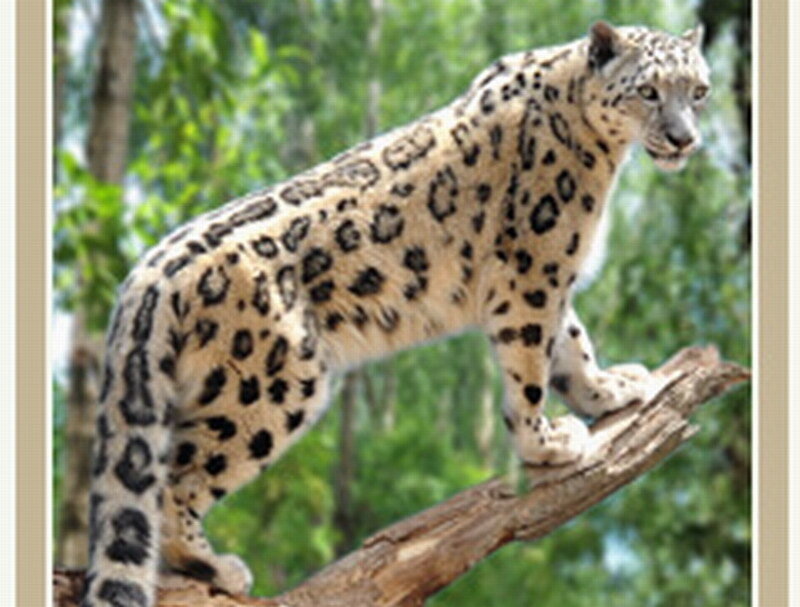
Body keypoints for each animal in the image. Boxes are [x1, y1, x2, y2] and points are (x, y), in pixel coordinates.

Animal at [82, 21, 710, 607]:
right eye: (648, 91)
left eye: (699, 91)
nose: (684, 139)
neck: (600, 155)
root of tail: (146, 277)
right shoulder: (535, 270)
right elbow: (532, 364)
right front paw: (546, 442)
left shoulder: (553, 278)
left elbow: (572, 342)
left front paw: (610, 389)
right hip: (271, 386)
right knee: (173, 483)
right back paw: (219, 568)